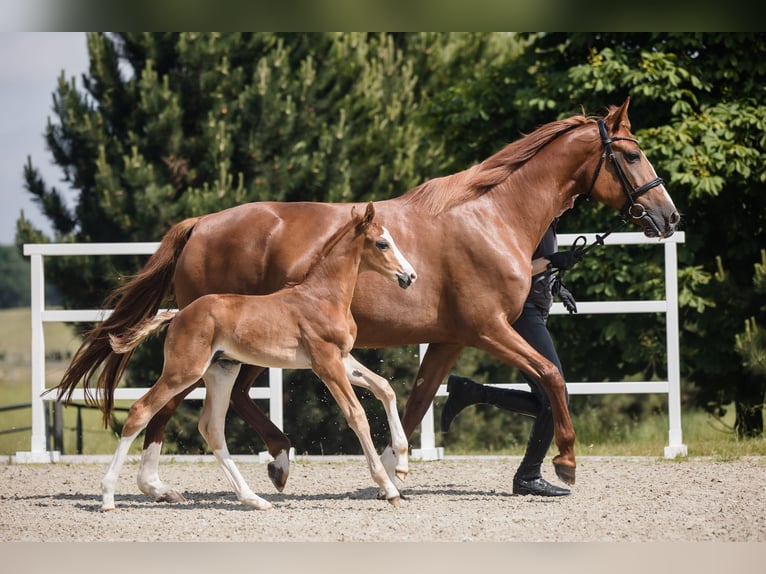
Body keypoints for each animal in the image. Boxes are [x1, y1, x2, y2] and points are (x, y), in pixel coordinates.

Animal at [100, 205, 420, 510]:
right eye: (382, 243)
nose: (410, 276)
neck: (322, 297)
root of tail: (178, 316)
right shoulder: (326, 363)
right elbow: (357, 415)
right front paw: (389, 488)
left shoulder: (341, 359)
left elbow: (384, 388)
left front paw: (402, 465)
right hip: (184, 371)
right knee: (141, 410)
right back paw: (108, 498)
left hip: (221, 371)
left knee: (212, 428)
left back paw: (254, 499)